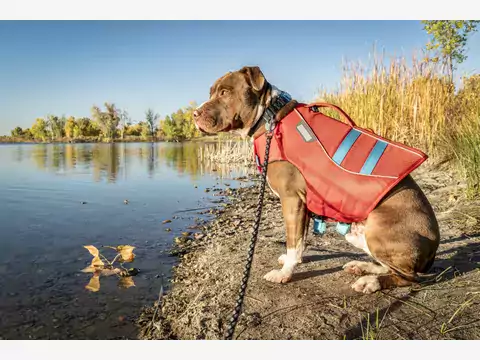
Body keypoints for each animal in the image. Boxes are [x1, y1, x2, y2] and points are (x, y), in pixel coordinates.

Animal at [192, 66, 438, 294]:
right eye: (212, 92)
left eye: (224, 92)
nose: (194, 114)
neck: (270, 117)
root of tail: (434, 245)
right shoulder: (303, 204)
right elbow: (300, 240)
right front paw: (293, 261)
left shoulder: (292, 199)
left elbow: (293, 240)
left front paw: (284, 273)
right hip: (358, 234)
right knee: (389, 266)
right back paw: (363, 267)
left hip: (378, 231)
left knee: (409, 277)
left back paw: (371, 281)